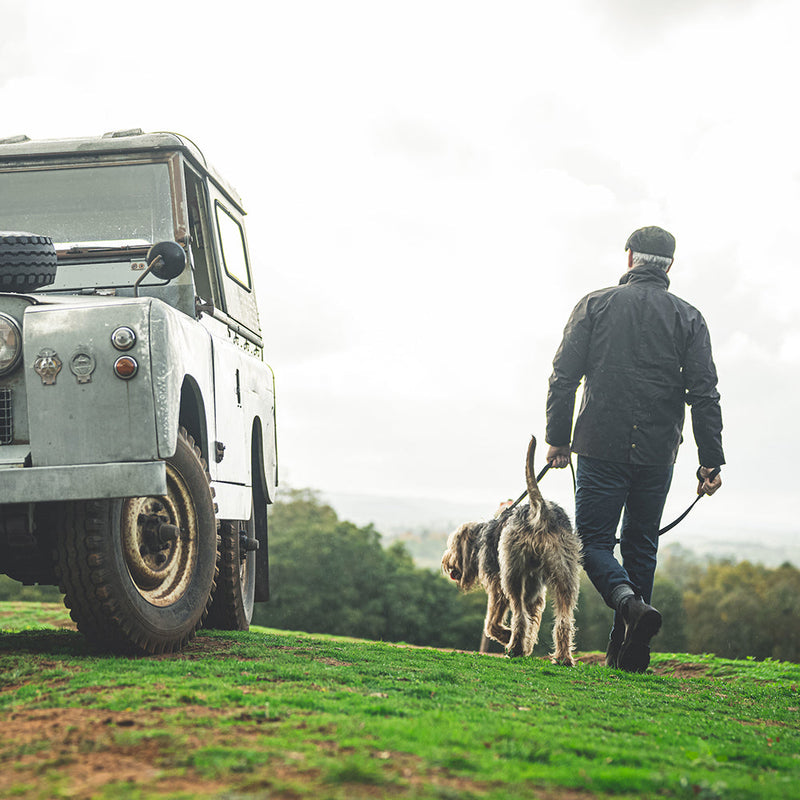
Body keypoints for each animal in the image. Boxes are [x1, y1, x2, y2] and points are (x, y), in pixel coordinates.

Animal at [444, 438, 580, 664]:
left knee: (520, 615)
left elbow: (491, 623)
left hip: (512, 575)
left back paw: (514, 647)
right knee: (564, 620)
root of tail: (539, 511)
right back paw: (563, 658)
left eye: (452, 544)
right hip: (565, 575)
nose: (445, 563)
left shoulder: (496, 587)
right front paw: (526, 644)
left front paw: (508, 636)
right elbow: (533, 619)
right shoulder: (535, 593)